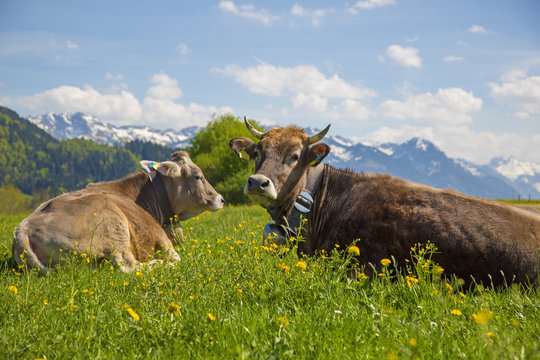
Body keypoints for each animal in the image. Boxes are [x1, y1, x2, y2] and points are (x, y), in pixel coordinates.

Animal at [12, 150, 224, 272]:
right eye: (198, 176)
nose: (221, 199)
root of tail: (23, 228)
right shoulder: (162, 240)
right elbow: (178, 258)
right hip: (113, 227)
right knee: (129, 266)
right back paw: (158, 265)